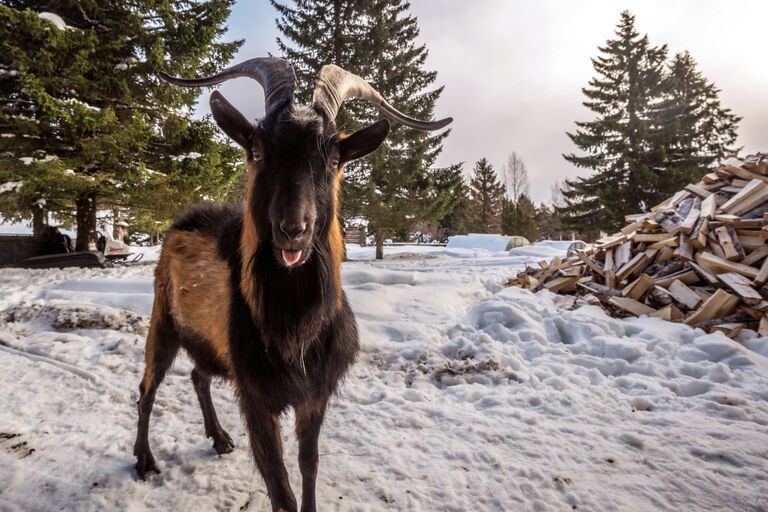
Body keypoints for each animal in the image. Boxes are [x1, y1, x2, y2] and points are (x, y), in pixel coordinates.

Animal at [132, 57, 450, 512]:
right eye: (258, 149)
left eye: (333, 158)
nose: (293, 230)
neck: (295, 328)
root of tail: (182, 221)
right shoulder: (256, 395)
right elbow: (279, 483)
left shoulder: (314, 394)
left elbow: (308, 464)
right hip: (163, 321)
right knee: (147, 389)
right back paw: (144, 461)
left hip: (208, 341)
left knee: (198, 376)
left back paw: (220, 438)